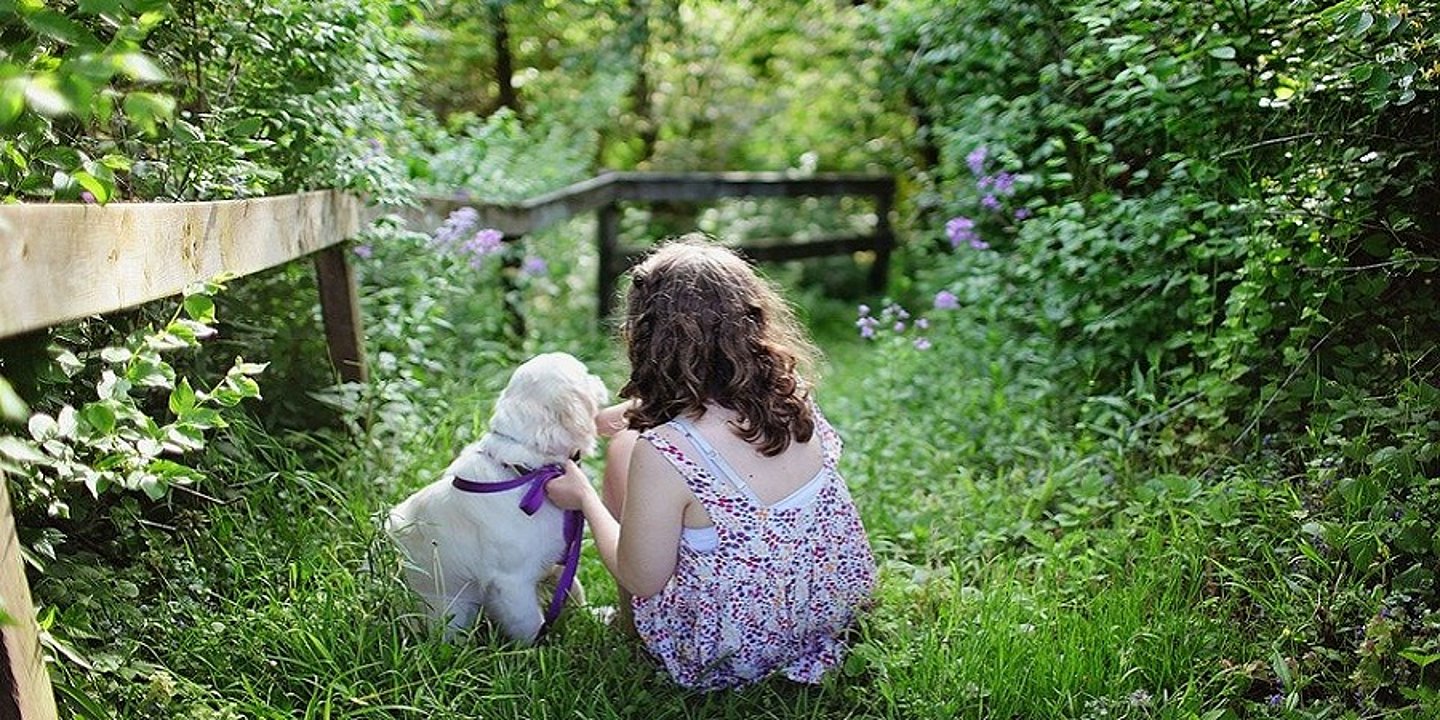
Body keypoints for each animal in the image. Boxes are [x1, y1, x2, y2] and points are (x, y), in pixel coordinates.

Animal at [383, 351, 607, 645]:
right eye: (584, 374)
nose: (599, 378)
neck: (527, 471)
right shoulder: (512, 582)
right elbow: (530, 623)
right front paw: (538, 650)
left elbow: (574, 588)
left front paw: (596, 615)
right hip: (452, 609)